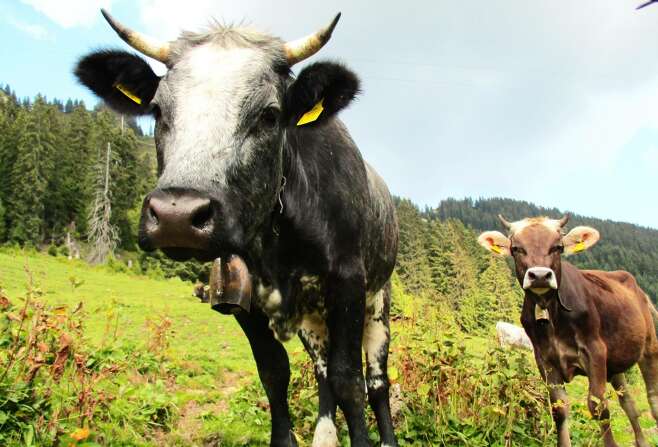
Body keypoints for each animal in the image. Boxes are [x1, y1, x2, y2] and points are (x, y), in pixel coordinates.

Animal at [74, 7, 398, 447]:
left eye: (269, 115)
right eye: (157, 111)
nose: (177, 215)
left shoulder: (348, 282)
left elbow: (350, 381)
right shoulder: (240, 296)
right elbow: (275, 374)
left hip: (378, 300)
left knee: (376, 380)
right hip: (313, 320)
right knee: (321, 372)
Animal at [476, 215, 656, 446]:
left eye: (558, 247)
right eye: (516, 248)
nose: (540, 275)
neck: (551, 314)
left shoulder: (595, 351)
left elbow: (598, 406)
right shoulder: (545, 360)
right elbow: (559, 410)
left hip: (649, 347)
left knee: (652, 399)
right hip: (615, 364)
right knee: (629, 404)